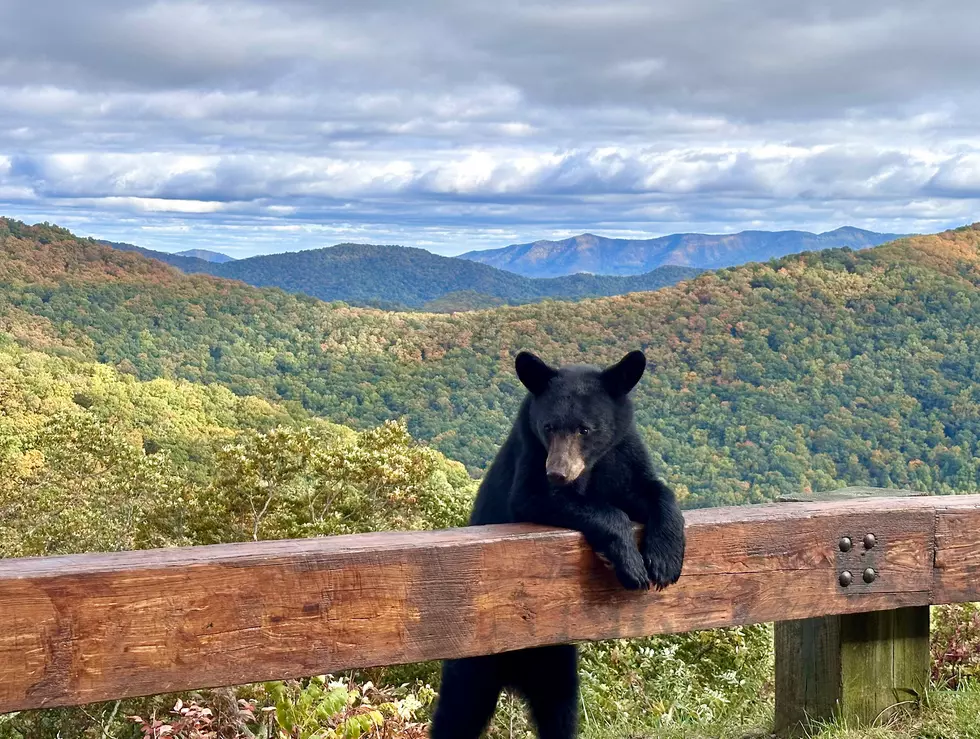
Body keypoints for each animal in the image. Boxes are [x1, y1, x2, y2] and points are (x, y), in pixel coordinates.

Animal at [429, 349, 686, 739]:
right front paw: (629, 564)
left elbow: (649, 490)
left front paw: (665, 559)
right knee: (458, 712)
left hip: (557, 661)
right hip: (474, 666)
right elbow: (542, 499)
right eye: (549, 427)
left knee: (560, 710)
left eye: (585, 429)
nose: (558, 473)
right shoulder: (530, 456)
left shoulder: (621, 453)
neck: (590, 468)